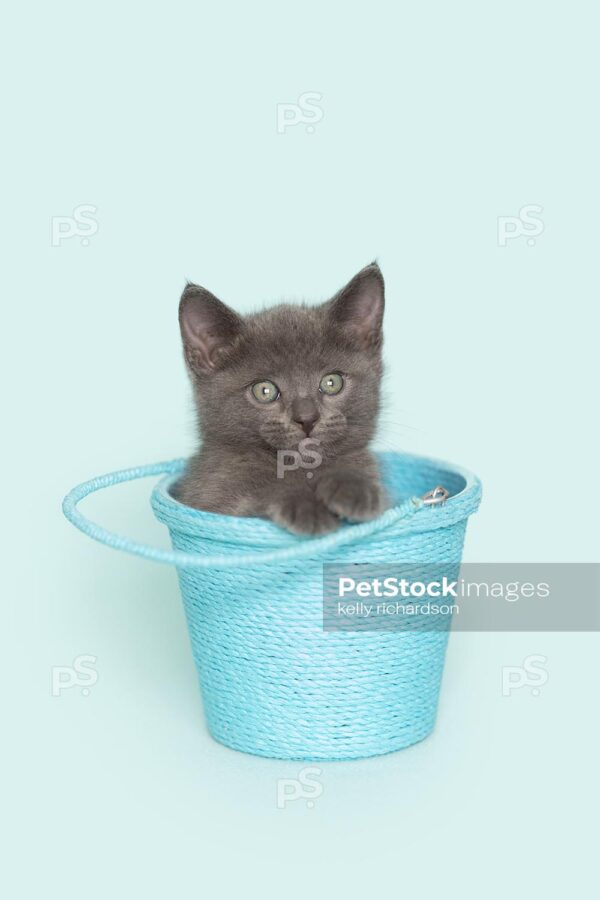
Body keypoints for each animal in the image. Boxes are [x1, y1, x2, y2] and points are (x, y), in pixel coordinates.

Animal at [173, 262, 386, 536]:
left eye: (332, 382)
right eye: (264, 390)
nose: (307, 418)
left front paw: (353, 487)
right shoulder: (209, 494)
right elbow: (252, 497)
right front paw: (306, 506)